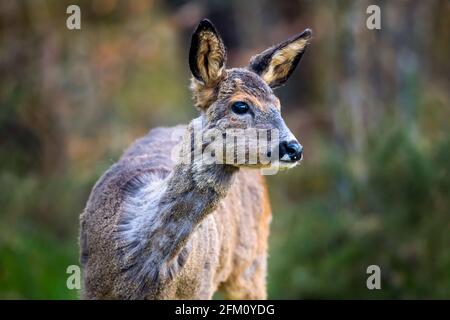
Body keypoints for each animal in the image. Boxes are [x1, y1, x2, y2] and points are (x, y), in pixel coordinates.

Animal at [80, 19, 312, 300]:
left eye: (278, 105)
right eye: (240, 106)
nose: (294, 148)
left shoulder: (200, 289)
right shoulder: (89, 286)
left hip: (252, 264)